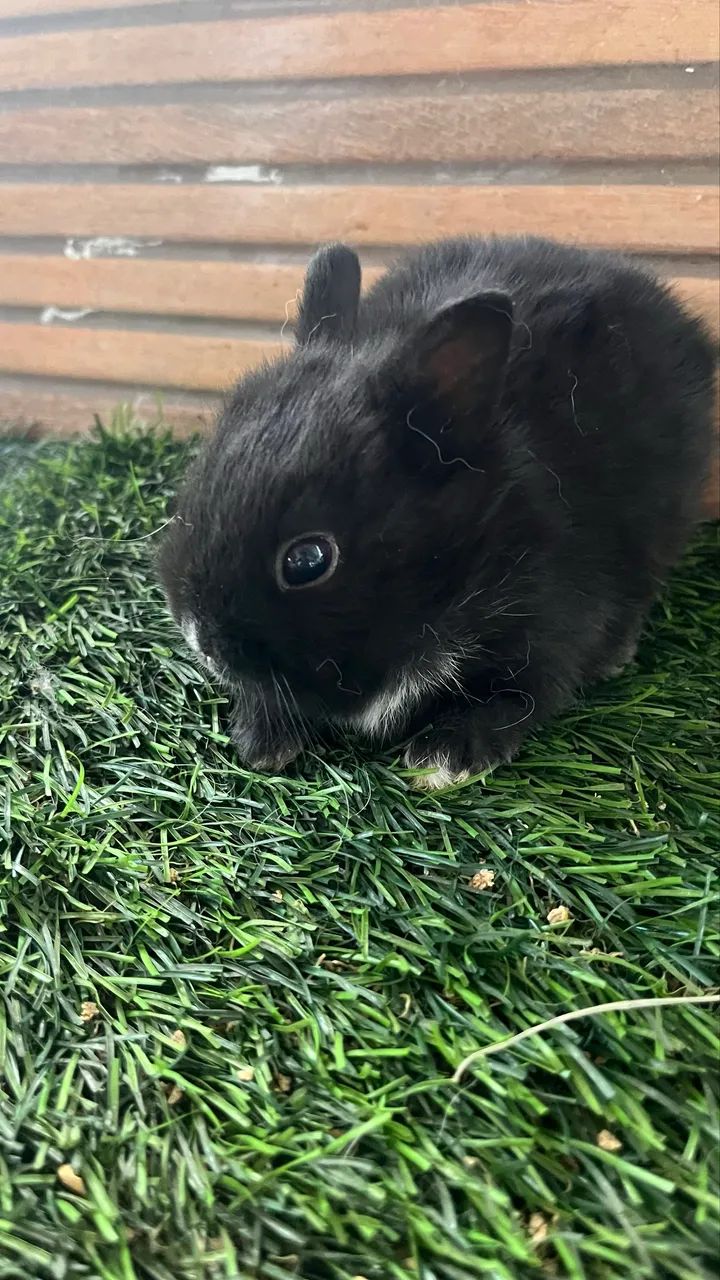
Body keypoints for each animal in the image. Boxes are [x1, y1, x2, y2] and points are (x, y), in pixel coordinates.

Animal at [158, 235, 716, 788]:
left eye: (308, 560)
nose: (199, 637)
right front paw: (264, 740)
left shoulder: (547, 629)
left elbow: (516, 699)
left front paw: (444, 758)